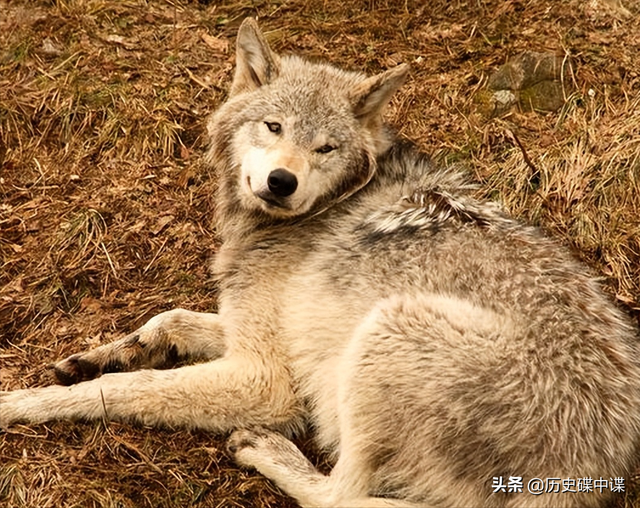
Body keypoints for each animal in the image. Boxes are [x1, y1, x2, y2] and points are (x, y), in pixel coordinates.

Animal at [1, 16, 640, 508]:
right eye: (274, 126)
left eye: (324, 148)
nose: (281, 182)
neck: (322, 209)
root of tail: (592, 469)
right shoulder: (251, 329)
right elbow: (168, 321)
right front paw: (95, 356)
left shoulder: (265, 379)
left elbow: (124, 391)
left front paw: (25, 403)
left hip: (386, 330)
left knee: (341, 494)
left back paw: (267, 450)